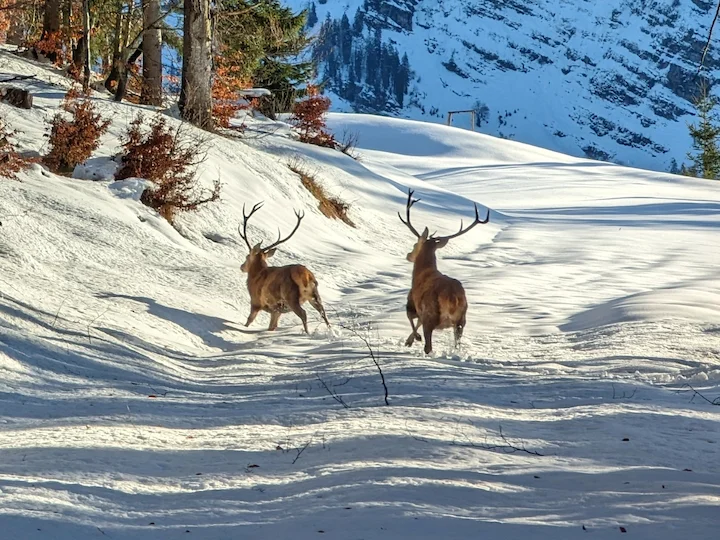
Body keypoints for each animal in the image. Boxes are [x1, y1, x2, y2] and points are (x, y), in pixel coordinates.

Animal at [238, 202, 330, 334]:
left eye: (247, 256)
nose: (241, 267)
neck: (256, 275)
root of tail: (306, 276)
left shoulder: (256, 301)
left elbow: (249, 320)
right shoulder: (276, 310)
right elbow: (272, 326)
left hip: (290, 295)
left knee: (304, 313)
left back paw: (307, 333)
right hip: (314, 294)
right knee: (323, 311)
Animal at [398, 189, 489, 354]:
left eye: (415, 244)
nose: (408, 255)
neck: (421, 272)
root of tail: (453, 297)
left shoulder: (412, 303)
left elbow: (411, 318)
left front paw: (413, 339)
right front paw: (409, 340)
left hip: (431, 314)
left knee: (428, 346)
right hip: (461, 319)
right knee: (457, 344)